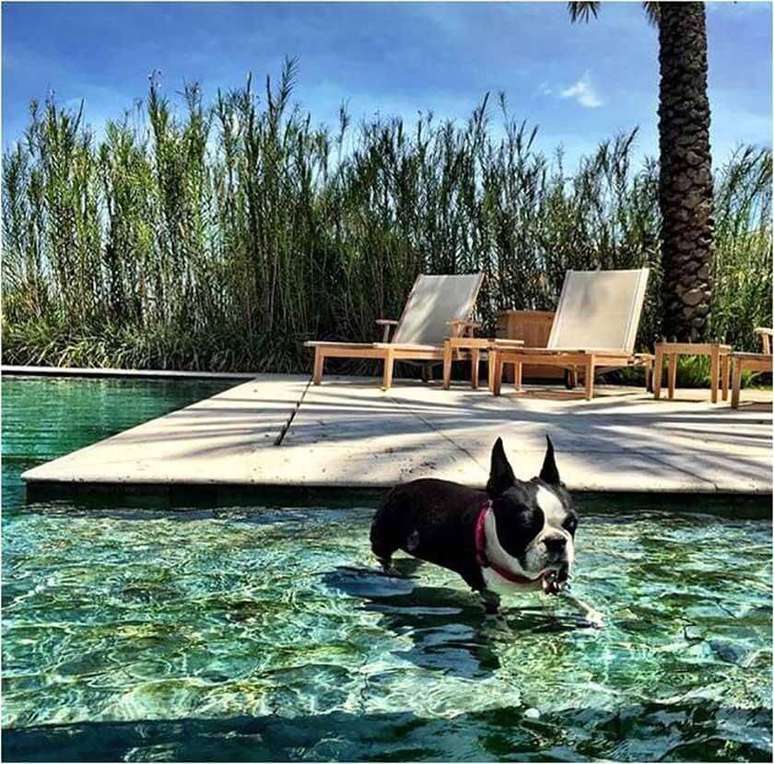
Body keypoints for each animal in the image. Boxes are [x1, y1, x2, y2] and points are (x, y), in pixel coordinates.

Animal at [372, 436, 580, 616]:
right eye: (524, 525)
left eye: (572, 523)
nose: (556, 541)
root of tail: (400, 486)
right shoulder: (488, 593)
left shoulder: (555, 582)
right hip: (385, 535)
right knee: (382, 555)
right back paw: (391, 574)